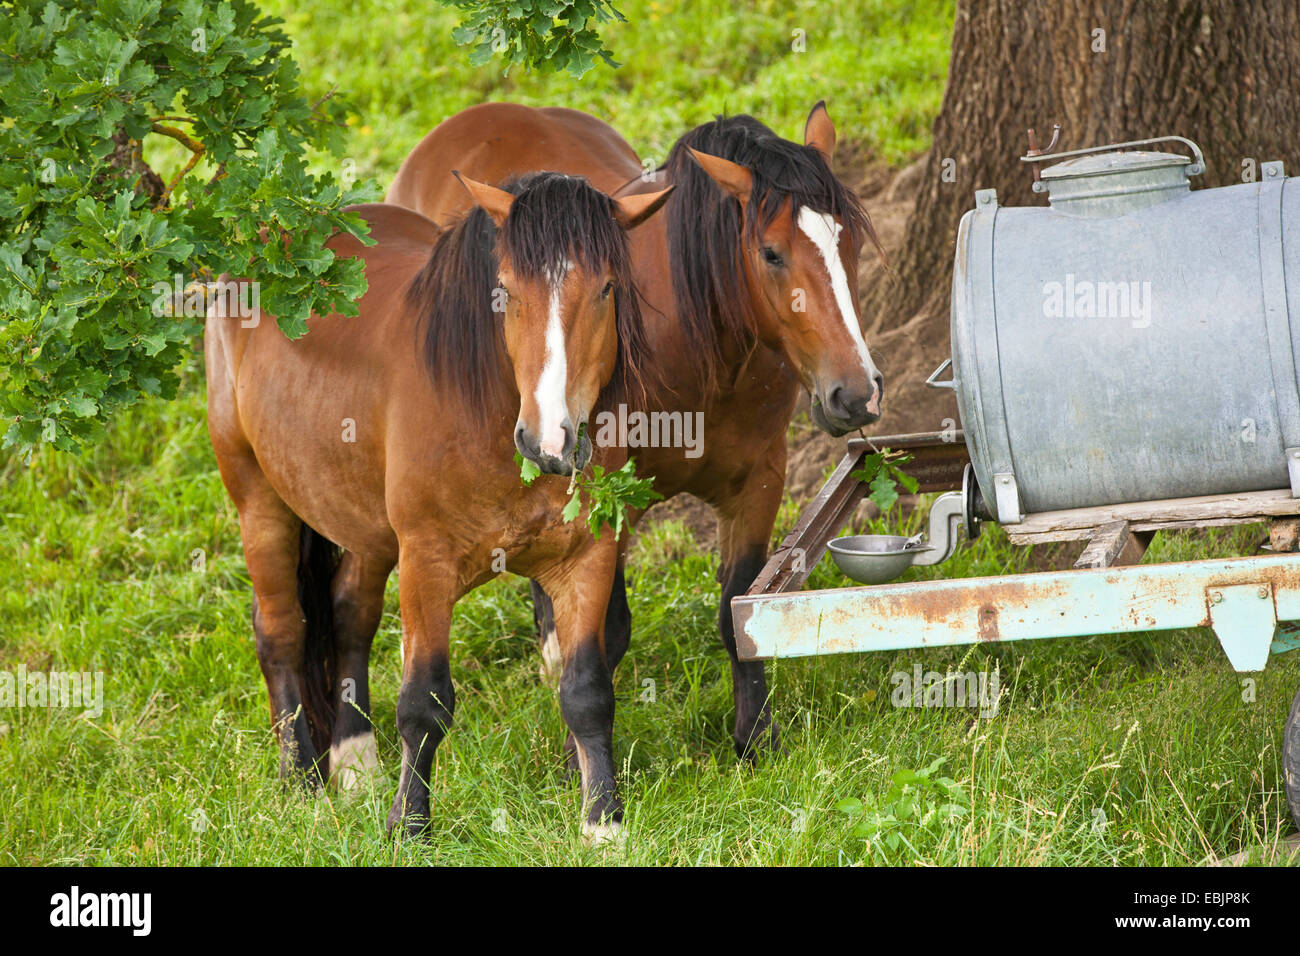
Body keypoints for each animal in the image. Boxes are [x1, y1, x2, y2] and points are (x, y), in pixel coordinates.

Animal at [205, 175, 670, 842]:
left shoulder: (588, 557)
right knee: (282, 632)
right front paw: (410, 825)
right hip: (258, 499)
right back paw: (301, 781)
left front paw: (602, 821)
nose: (550, 441)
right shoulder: (427, 563)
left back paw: (355, 763)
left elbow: (587, 691)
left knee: (348, 616)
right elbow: (423, 703)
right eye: (506, 291)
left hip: (366, 530)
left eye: (606, 288)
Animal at [384, 102, 889, 764]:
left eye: (846, 239)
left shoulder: (760, 479)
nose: (855, 393)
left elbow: (739, 610)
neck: (696, 345)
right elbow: (608, 633)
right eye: (772, 253)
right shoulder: (611, 502)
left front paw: (754, 738)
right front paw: (577, 758)